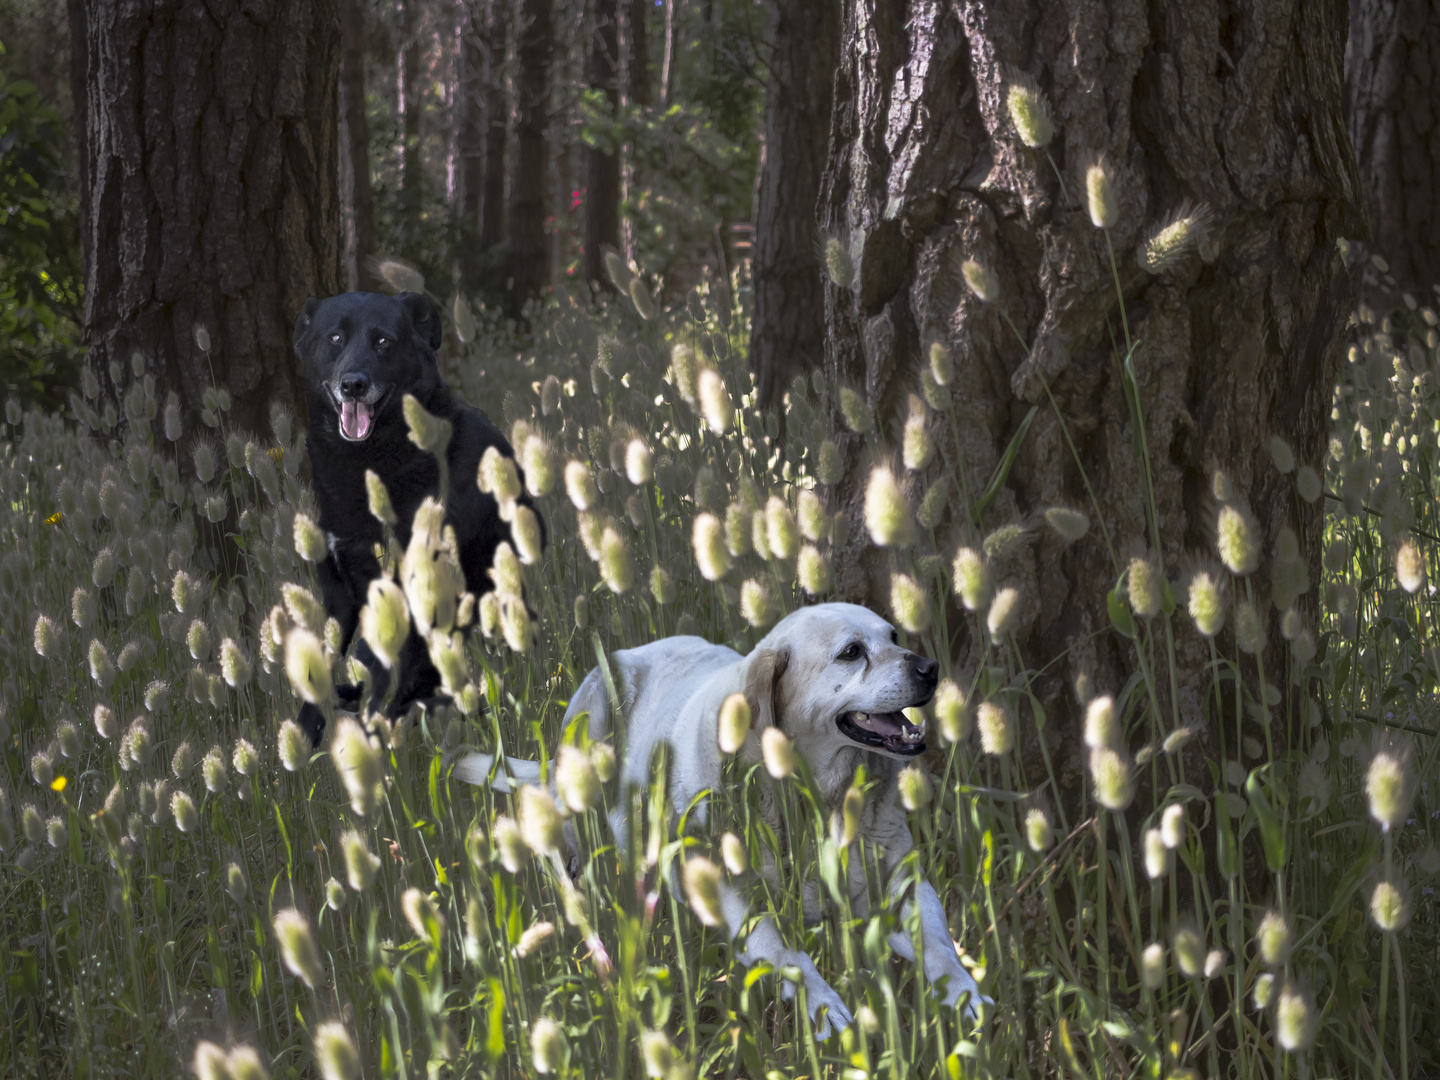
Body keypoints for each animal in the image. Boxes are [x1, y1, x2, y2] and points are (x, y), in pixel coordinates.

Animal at [289, 289, 541, 743]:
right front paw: (303, 739)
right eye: (335, 338)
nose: (353, 384)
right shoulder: (339, 592)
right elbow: (322, 662)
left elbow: (381, 662)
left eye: (384, 342)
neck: (367, 462)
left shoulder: (414, 579)